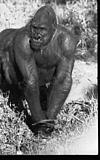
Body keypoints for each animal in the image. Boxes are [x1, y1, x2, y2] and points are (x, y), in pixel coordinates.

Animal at [0, 5, 81, 133]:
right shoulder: (22, 41)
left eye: (42, 29)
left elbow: (62, 80)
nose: (36, 36)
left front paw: (49, 119)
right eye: (35, 27)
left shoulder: (68, 43)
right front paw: (41, 122)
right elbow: (31, 80)